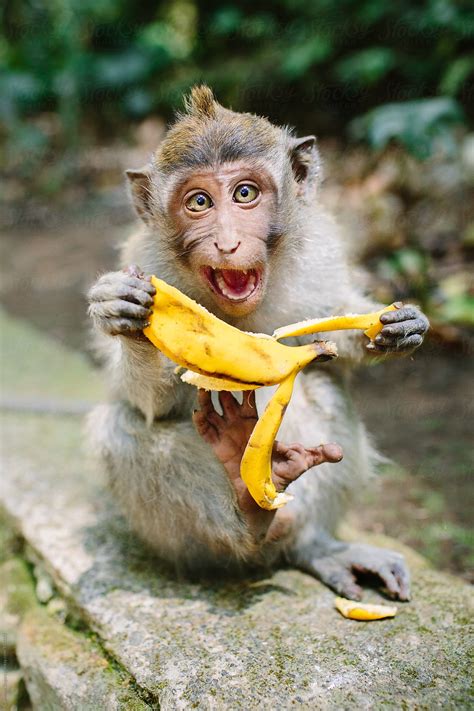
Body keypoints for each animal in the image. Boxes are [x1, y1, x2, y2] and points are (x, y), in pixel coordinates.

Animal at [86, 86, 430, 604]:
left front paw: (396, 330)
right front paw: (123, 314)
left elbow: (333, 328)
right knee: (120, 429)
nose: (228, 243)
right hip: (190, 548)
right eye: (199, 202)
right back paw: (247, 514)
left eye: (245, 194)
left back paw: (313, 545)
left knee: (323, 384)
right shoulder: (145, 260)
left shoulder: (319, 251)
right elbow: (146, 405)